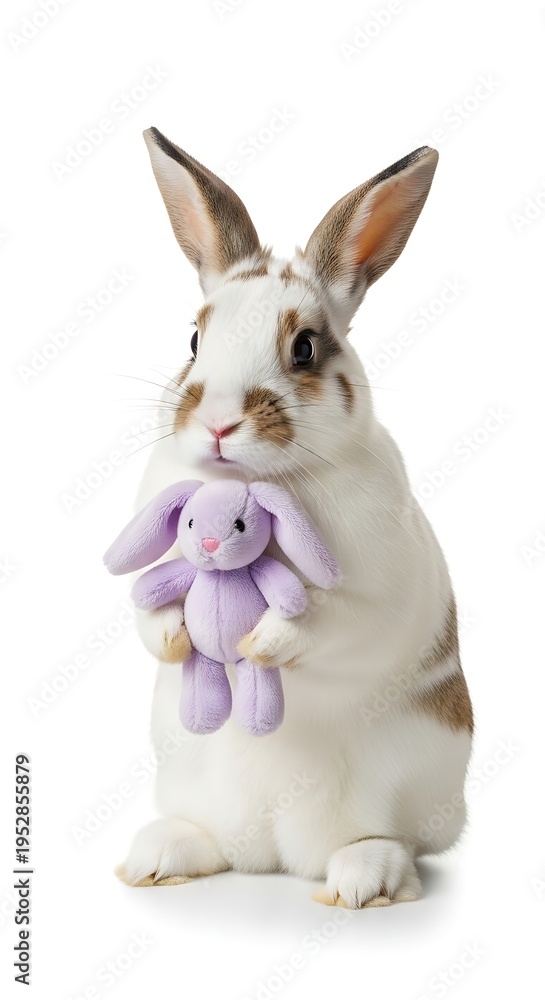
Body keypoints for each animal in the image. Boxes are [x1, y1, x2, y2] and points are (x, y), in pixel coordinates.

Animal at [115, 127, 473, 907]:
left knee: (388, 842)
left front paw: (259, 645)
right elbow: (146, 607)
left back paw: (365, 879)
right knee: (211, 841)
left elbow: (335, 621)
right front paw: (175, 640)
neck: (250, 483)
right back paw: (159, 857)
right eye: (195, 340)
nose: (219, 423)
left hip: (404, 784)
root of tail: (276, 856)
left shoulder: (375, 593)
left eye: (304, 347)